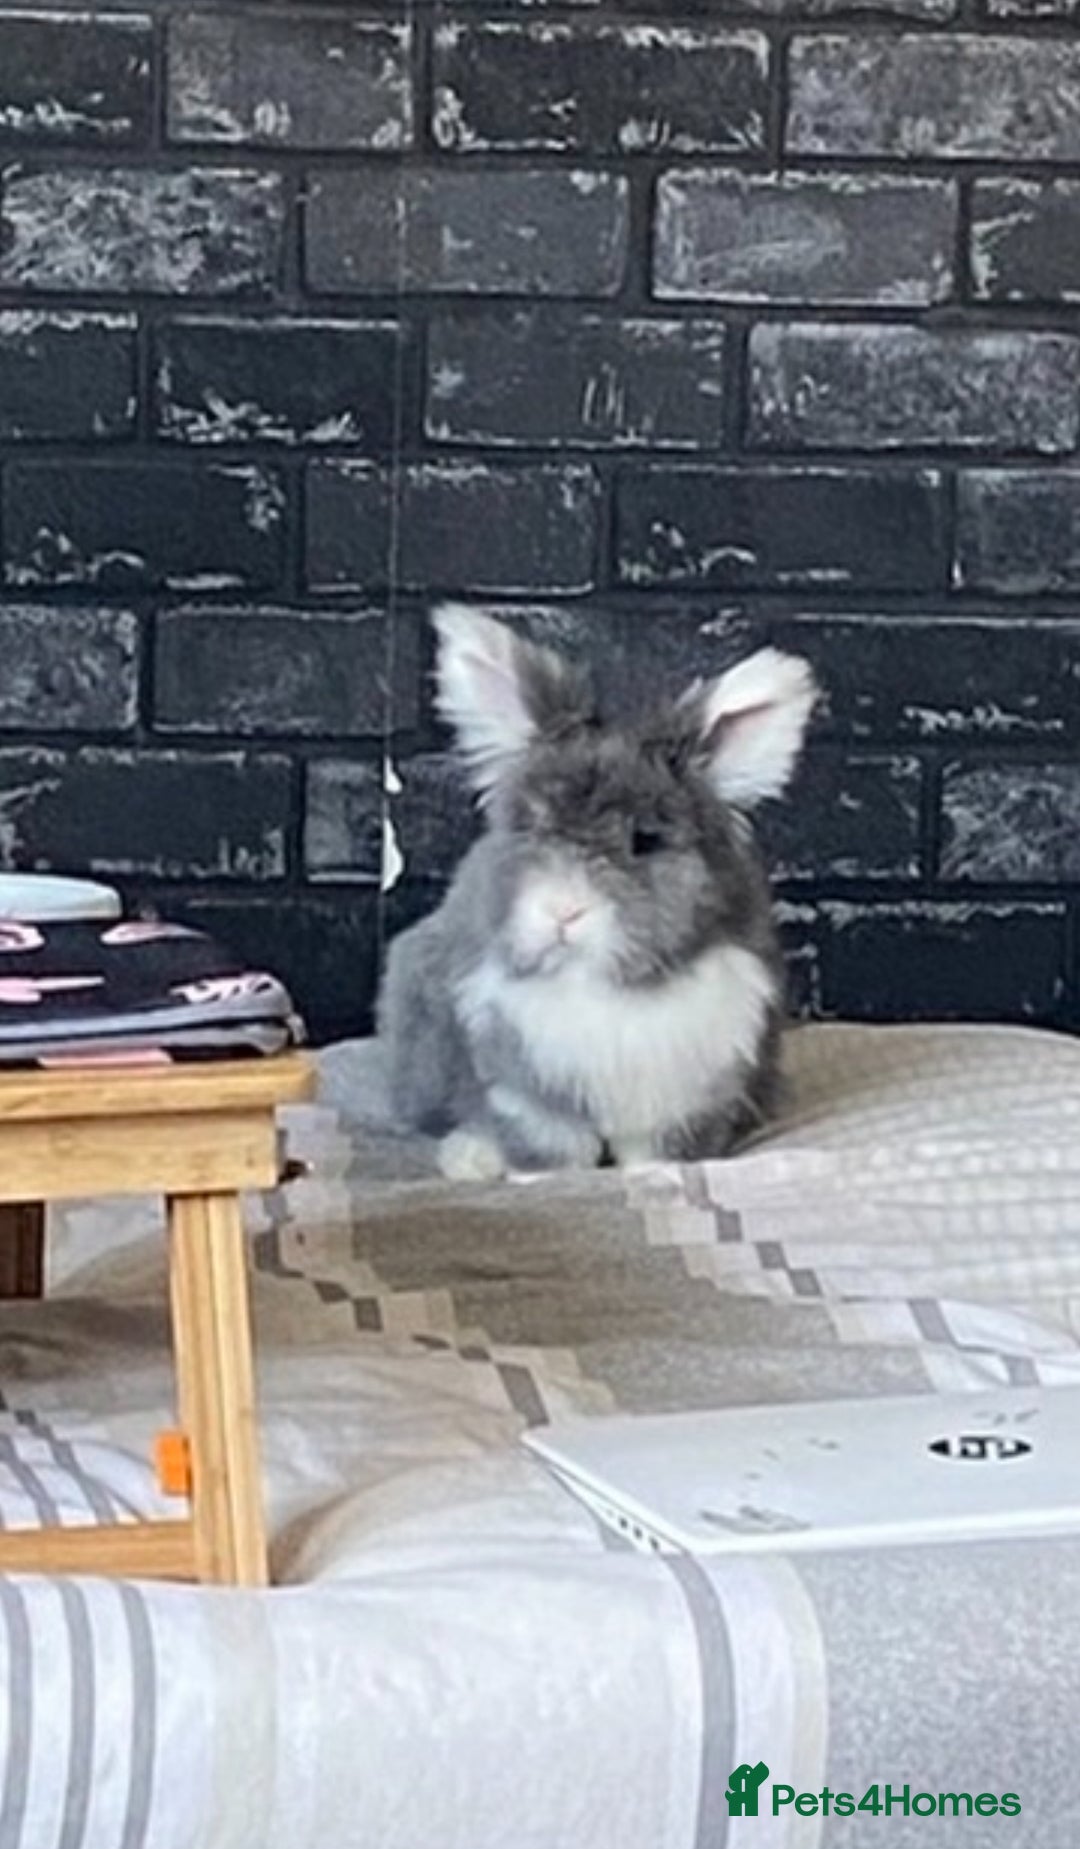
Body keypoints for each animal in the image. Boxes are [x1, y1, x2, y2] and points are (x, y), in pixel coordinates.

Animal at [377, 603, 818, 1182]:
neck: (598, 983)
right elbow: (552, 1145)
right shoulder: (524, 1086)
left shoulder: (688, 1094)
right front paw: (544, 1178)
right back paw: (469, 1157)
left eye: (645, 840)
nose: (563, 910)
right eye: (532, 826)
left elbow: (654, 1151)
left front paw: (653, 1178)